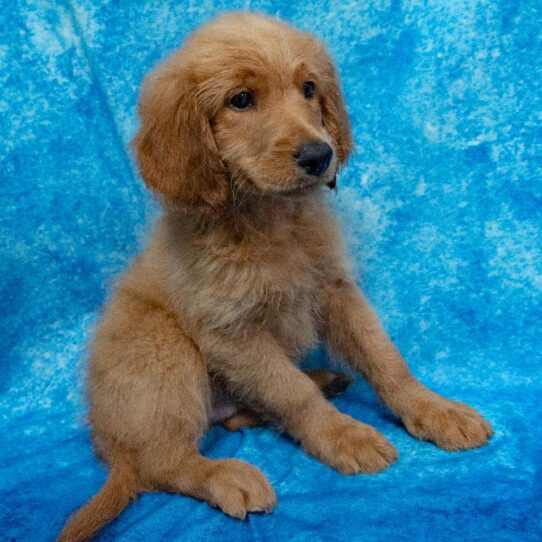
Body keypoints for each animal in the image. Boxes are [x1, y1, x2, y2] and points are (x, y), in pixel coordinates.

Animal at [58, 12, 492, 542]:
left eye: (308, 89)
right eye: (241, 100)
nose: (319, 156)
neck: (271, 219)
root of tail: (111, 448)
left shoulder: (334, 289)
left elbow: (385, 358)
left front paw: (433, 408)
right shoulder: (231, 332)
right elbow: (292, 393)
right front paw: (342, 434)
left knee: (239, 416)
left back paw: (322, 379)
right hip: (163, 345)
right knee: (162, 463)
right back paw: (225, 474)